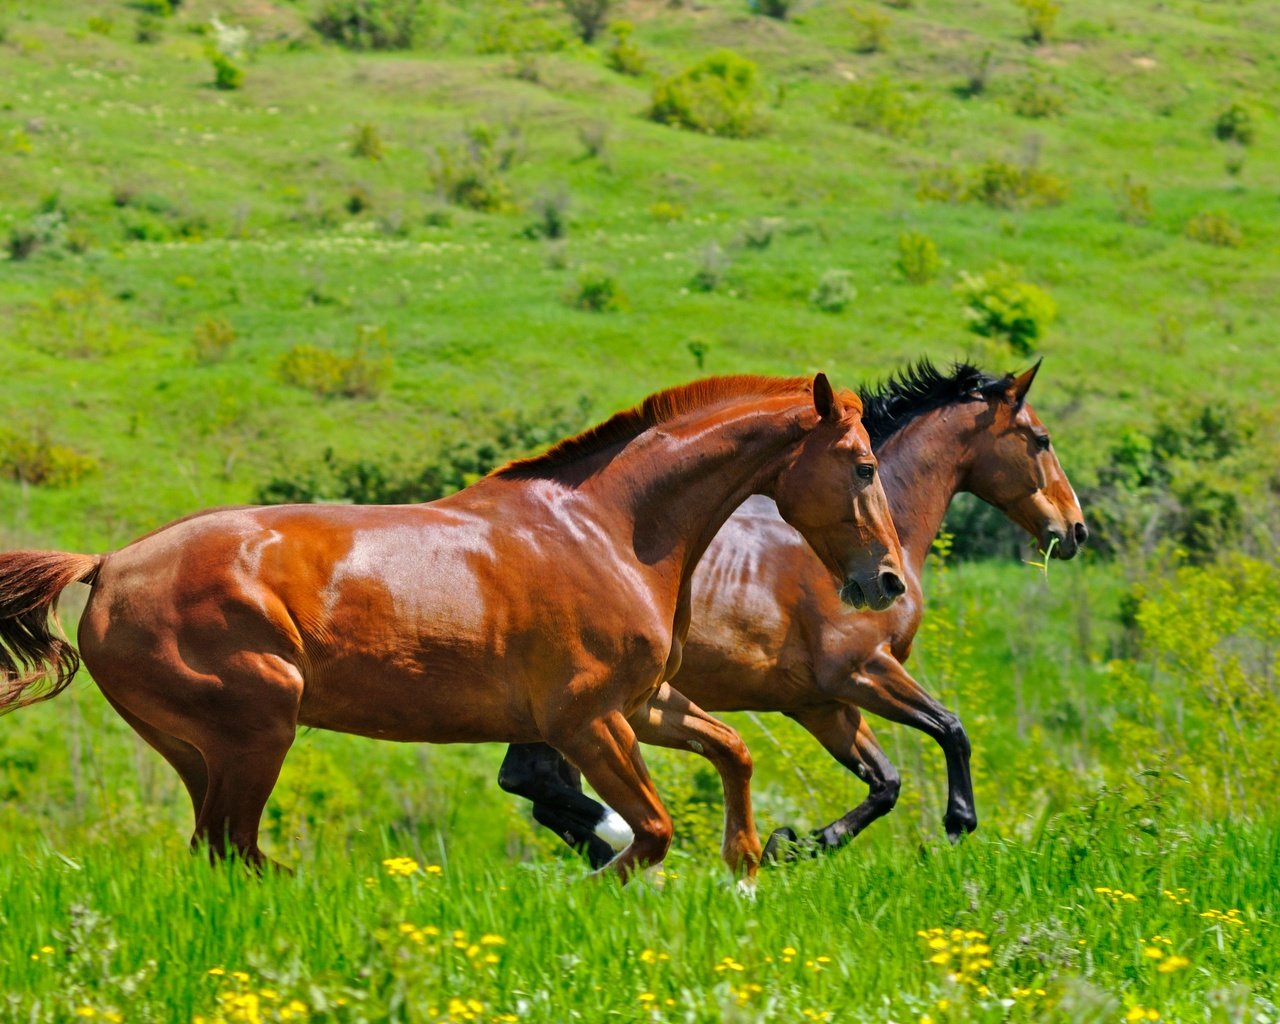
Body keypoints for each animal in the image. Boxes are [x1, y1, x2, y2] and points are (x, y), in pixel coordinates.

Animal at [0, 373, 906, 880]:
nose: (887, 580)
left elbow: (734, 752)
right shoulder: (587, 721)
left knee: (222, 854)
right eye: (864, 466)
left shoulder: (644, 704)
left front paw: (748, 870)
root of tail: (109, 564)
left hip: (202, 752)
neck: (608, 530)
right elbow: (647, 832)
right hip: (254, 733)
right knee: (233, 851)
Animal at [494, 360, 1085, 865]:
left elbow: (886, 782)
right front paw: (956, 822)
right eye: (1041, 440)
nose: (1075, 529)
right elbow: (951, 729)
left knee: (536, 787)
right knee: (534, 782)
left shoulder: (820, 704)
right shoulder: (862, 671)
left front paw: (792, 845)